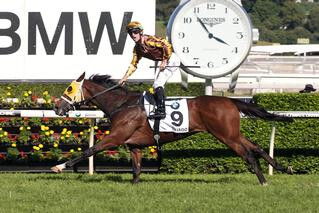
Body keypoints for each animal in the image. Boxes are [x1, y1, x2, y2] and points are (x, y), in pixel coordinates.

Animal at [52, 72, 296, 186]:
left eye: (69, 88)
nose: (57, 107)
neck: (122, 105)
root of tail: (229, 100)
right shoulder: (134, 145)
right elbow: (136, 170)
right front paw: (134, 186)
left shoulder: (116, 137)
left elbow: (89, 150)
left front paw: (60, 166)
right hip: (232, 133)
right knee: (256, 147)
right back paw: (282, 168)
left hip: (226, 136)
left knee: (248, 154)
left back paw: (263, 181)